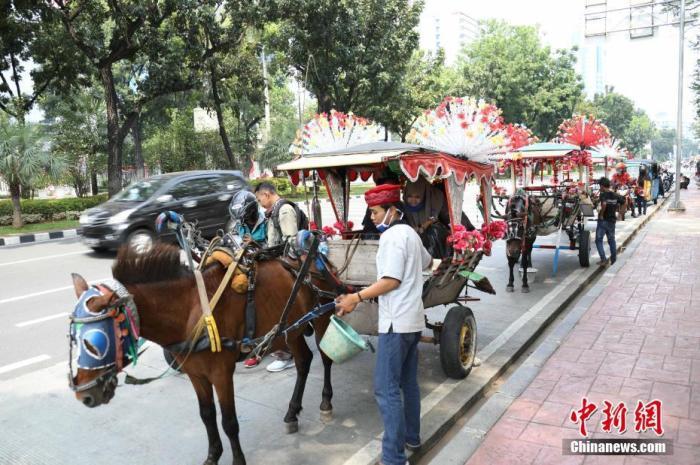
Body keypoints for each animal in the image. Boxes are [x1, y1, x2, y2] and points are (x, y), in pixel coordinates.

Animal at [70, 243, 336, 464]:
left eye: (94, 341)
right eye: (73, 337)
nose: (85, 396)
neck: (190, 312)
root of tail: (313, 255)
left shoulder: (221, 373)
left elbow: (229, 422)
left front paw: (237, 461)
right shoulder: (195, 374)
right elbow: (207, 415)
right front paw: (212, 455)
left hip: (323, 315)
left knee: (325, 358)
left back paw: (325, 402)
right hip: (289, 331)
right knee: (304, 361)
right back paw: (292, 413)